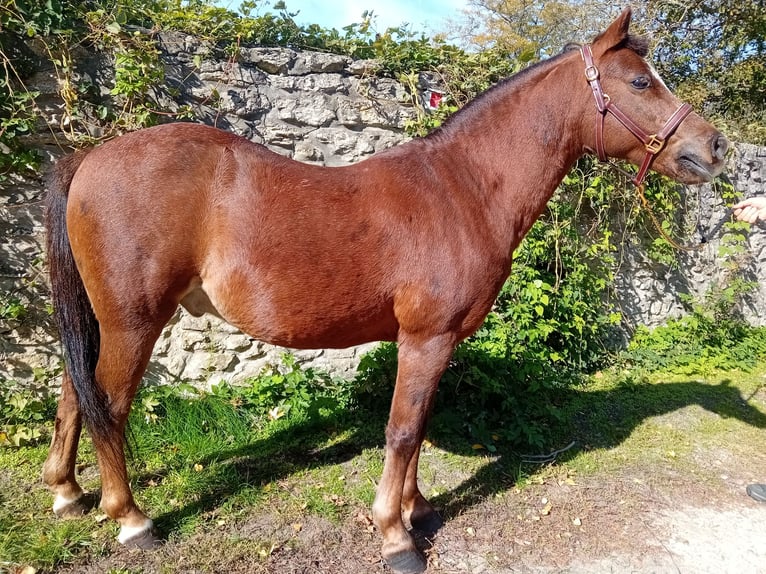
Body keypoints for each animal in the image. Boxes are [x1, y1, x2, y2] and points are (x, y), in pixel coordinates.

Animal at [45, 9, 728, 574]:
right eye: (639, 83)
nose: (715, 146)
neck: (462, 188)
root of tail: (88, 159)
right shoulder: (425, 338)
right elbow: (401, 430)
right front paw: (396, 537)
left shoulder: (435, 343)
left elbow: (418, 428)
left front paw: (418, 509)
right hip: (134, 321)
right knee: (109, 404)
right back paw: (131, 519)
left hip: (105, 321)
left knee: (75, 392)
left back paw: (67, 492)